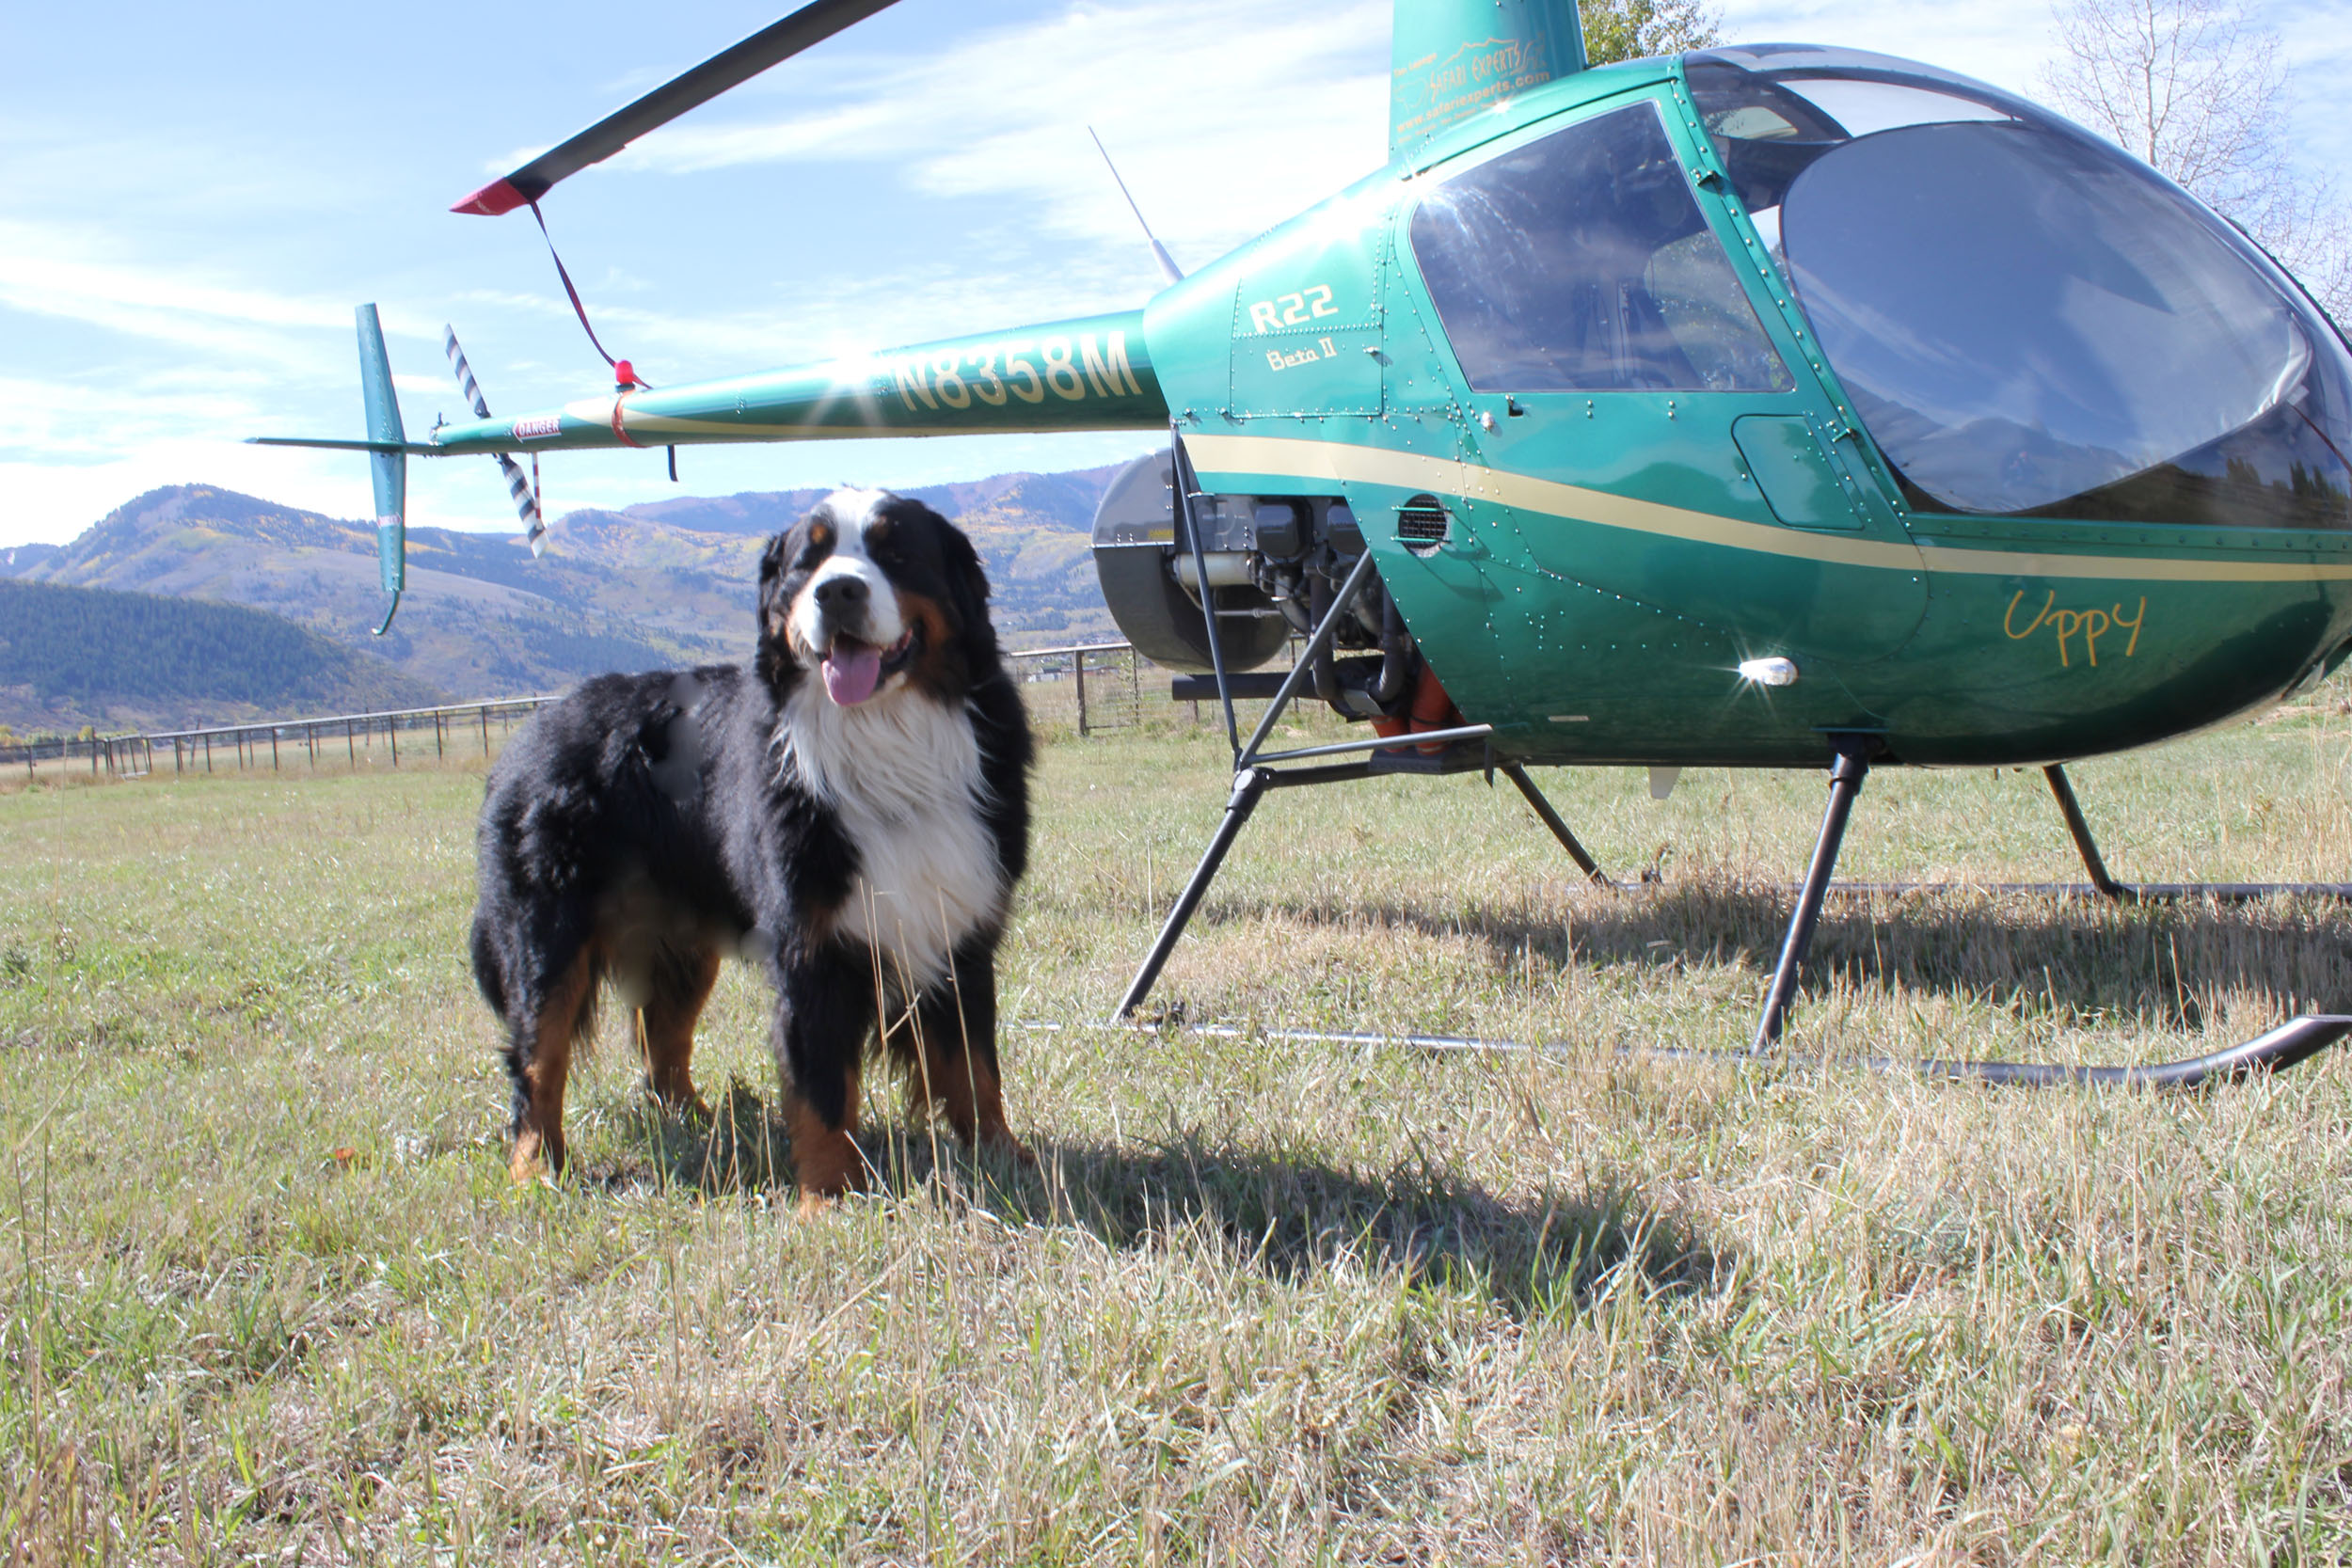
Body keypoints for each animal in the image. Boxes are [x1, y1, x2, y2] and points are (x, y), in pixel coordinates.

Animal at [468, 491, 1030, 1212]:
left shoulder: (959, 928)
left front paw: (1006, 1156)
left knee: (663, 1041)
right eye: (806, 562)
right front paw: (827, 1200)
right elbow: (821, 1089)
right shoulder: (809, 946)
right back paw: (535, 1167)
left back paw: (704, 1124)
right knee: (539, 1058)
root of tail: (528, 732)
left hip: (681, 944)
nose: (837, 590)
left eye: (895, 551)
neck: (887, 746)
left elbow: (974, 1066)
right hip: (548, 937)